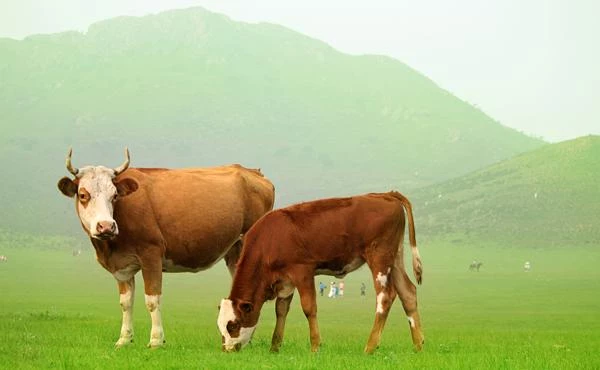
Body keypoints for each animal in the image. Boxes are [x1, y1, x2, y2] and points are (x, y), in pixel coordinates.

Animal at [57, 149, 274, 348]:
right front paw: (124, 339)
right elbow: (126, 303)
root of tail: (253, 172)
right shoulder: (122, 266)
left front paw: (156, 340)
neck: (110, 247)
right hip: (234, 251)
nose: (106, 226)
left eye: (115, 195)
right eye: (83, 195)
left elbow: (152, 300)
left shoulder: (151, 254)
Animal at [218, 192, 424, 354]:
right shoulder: (285, 281)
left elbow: (309, 308)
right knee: (408, 292)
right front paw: (274, 347)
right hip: (395, 258)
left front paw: (315, 346)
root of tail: (385, 195)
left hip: (379, 257)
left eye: (233, 325)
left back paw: (370, 346)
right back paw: (418, 345)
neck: (271, 238)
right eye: (220, 326)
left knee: (385, 297)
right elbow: (281, 310)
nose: (227, 350)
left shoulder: (302, 271)